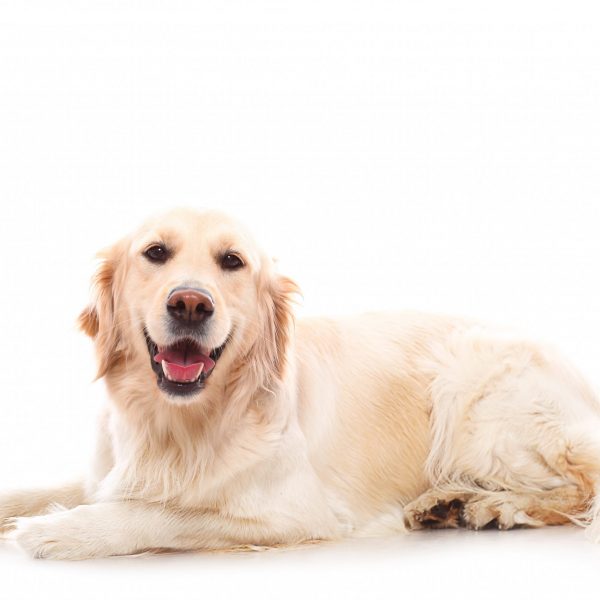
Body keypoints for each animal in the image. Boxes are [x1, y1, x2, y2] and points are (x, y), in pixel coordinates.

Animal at [1, 209, 600, 560]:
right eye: (155, 253)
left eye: (232, 261)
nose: (190, 303)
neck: (178, 423)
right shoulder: (105, 473)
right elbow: (38, 491)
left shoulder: (295, 512)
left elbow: (165, 514)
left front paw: (59, 531)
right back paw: (446, 503)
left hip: (470, 390)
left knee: (580, 488)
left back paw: (489, 506)